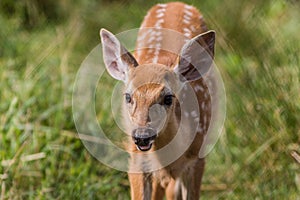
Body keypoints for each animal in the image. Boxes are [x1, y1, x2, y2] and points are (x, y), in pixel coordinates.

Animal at [99, 1, 214, 200]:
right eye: (128, 96)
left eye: (168, 97)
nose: (142, 136)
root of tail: (175, 3)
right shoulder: (136, 160)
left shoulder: (198, 157)